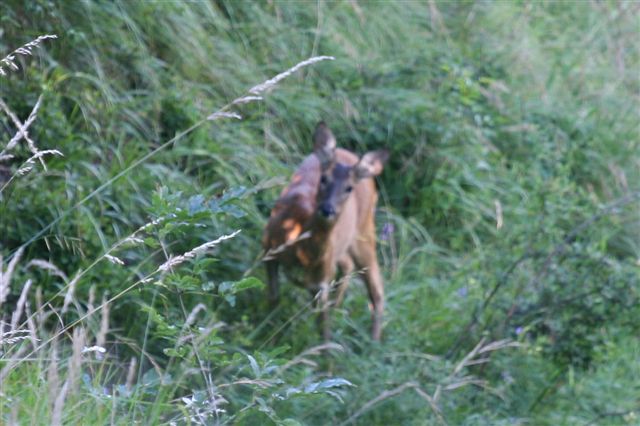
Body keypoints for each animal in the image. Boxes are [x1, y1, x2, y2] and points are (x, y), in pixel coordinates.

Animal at [262, 122, 388, 340]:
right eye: (323, 178)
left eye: (349, 188)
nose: (327, 209)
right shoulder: (268, 250)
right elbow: (274, 298)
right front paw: (266, 334)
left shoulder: (320, 283)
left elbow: (324, 334)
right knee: (349, 266)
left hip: (364, 231)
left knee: (376, 288)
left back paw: (373, 342)